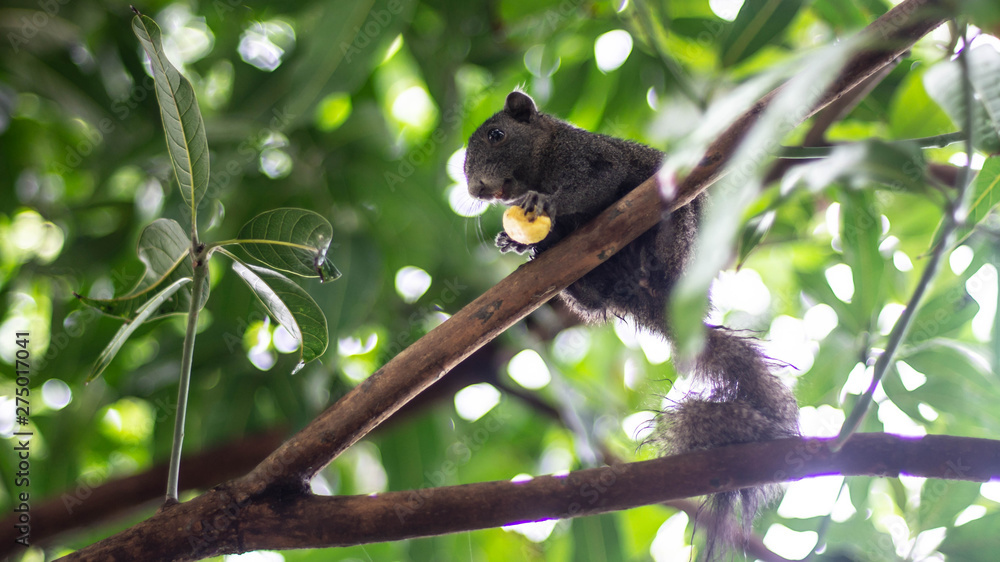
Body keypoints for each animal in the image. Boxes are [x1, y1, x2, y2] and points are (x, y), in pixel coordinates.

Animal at [464, 91, 799, 559]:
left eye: (496, 135)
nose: (475, 188)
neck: (544, 156)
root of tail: (654, 297)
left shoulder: (590, 155)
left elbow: (601, 180)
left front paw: (547, 205)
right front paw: (513, 239)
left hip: (679, 239)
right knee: (591, 296)